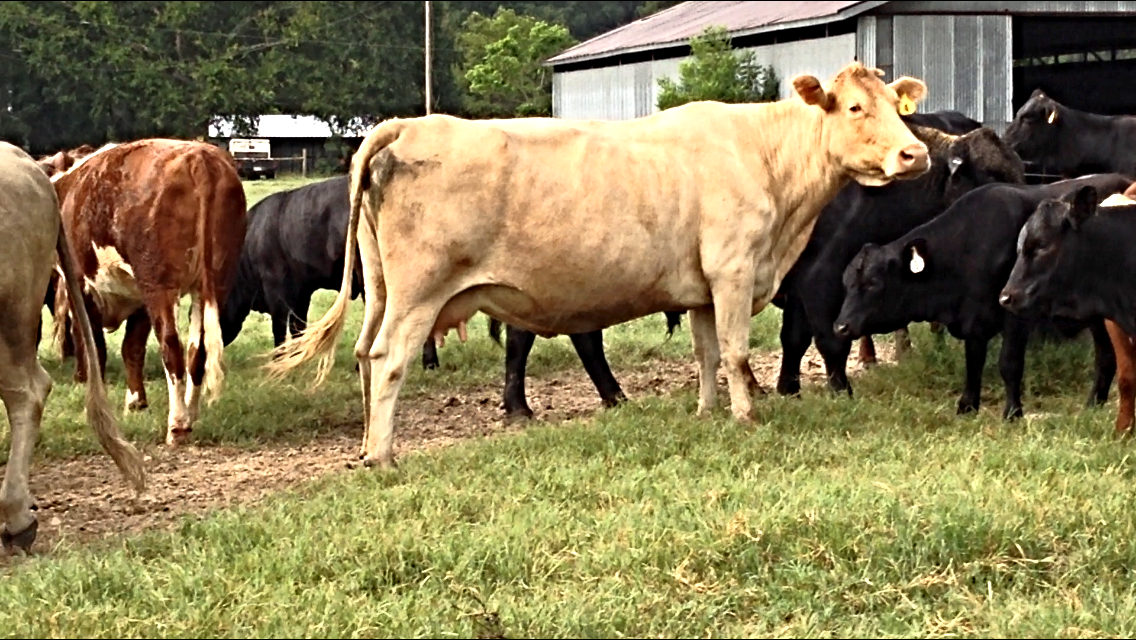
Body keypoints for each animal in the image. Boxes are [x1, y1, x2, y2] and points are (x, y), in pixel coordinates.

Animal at [48, 139, 248, 447]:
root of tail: (199, 157)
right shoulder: (138, 297)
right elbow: (132, 348)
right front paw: (135, 402)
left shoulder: (83, 286)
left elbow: (93, 346)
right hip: (214, 283)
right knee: (197, 351)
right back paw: (191, 414)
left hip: (159, 286)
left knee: (172, 348)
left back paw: (177, 425)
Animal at [263, 61, 933, 469]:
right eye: (854, 107)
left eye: (894, 104)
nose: (916, 154)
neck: (767, 160)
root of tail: (406, 124)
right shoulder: (734, 271)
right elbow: (738, 353)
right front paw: (747, 417)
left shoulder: (701, 288)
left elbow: (707, 353)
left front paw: (707, 412)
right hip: (417, 292)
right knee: (387, 358)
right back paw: (382, 455)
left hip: (380, 287)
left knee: (362, 351)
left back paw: (365, 444)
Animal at [773, 122, 1026, 399]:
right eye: (991, 175)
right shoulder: (821, 279)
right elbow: (832, 340)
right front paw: (842, 392)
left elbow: (794, 337)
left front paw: (788, 390)